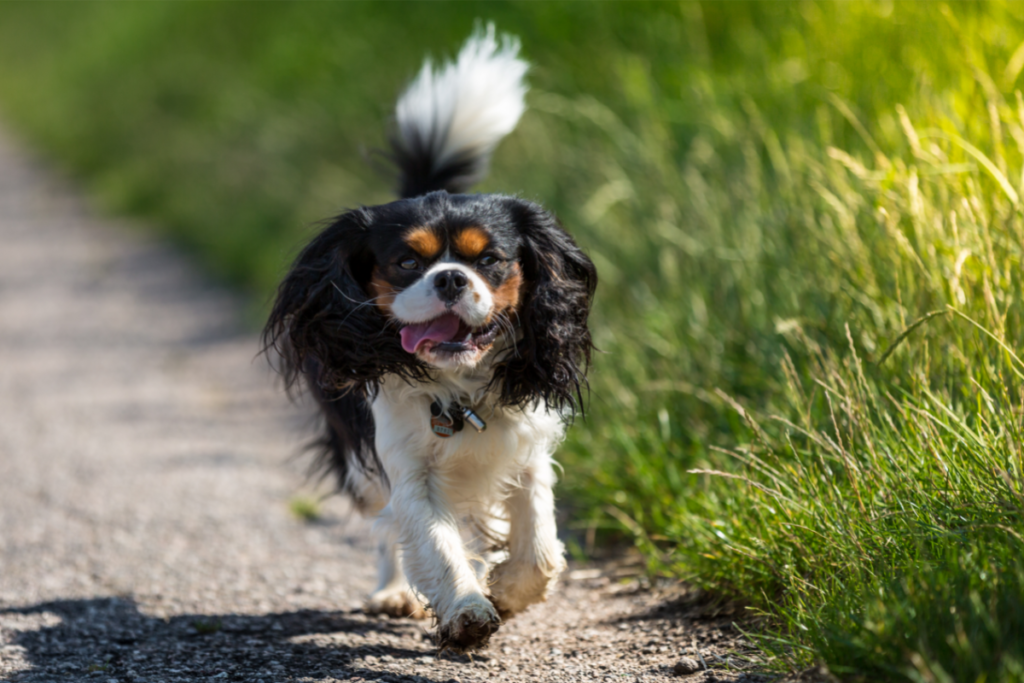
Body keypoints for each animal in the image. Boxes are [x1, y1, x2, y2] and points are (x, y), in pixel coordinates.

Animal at [264, 25, 598, 655]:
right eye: (404, 262)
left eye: (489, 260)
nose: (449, 278)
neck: (459, 387)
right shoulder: (404, 467)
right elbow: (434, 540)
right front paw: (467, 609)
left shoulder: (528, 450)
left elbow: (539, 543)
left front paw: (509, 590)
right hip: (361, 466)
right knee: (385, 525)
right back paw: (394, 593)